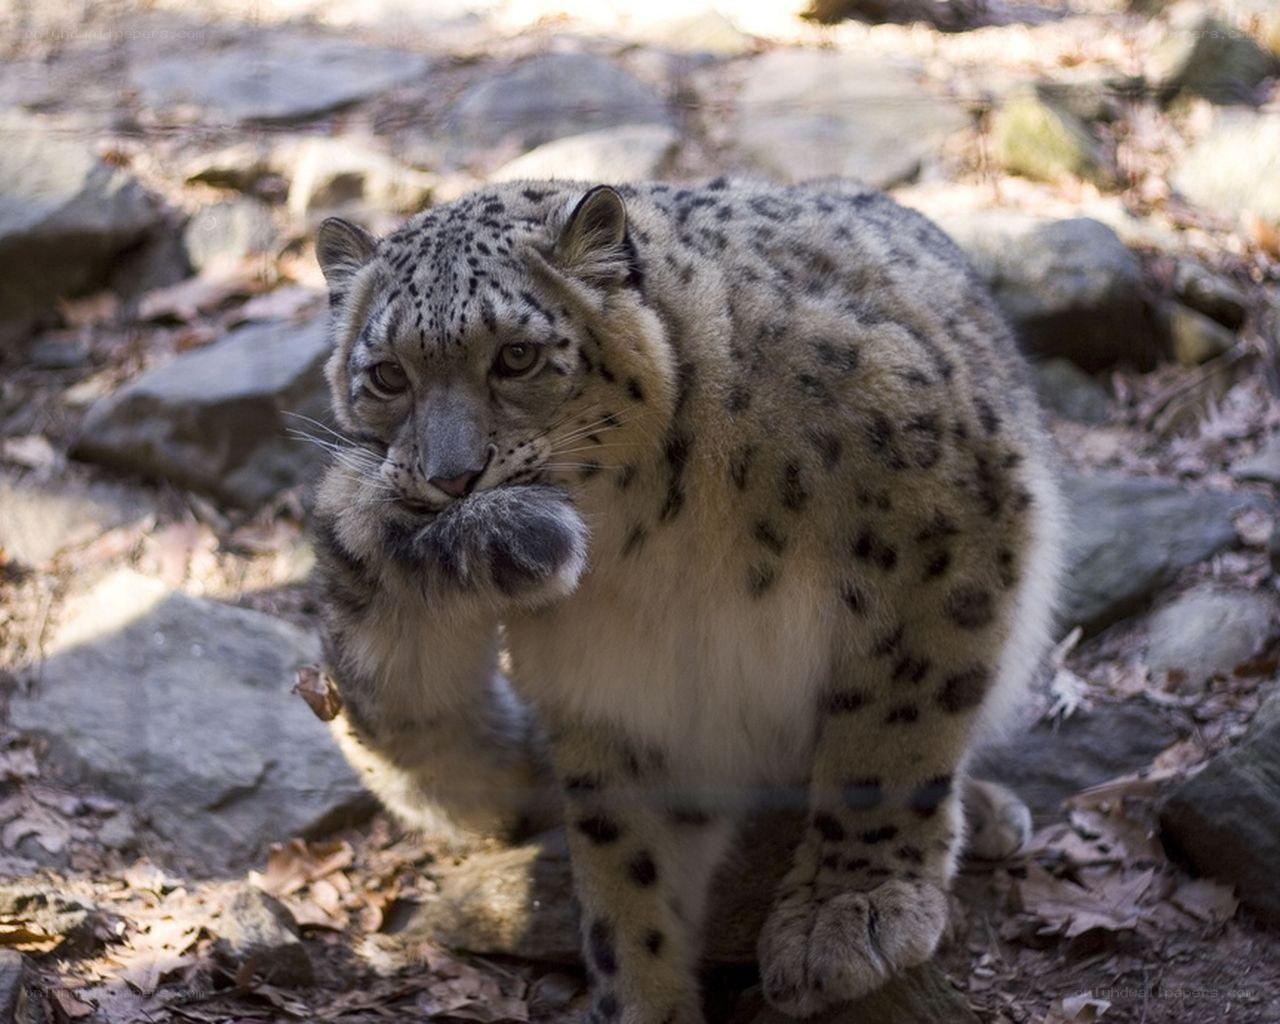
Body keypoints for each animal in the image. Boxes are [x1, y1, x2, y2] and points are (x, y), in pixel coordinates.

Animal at [308, 177, 1062, 1022]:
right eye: (387, 374)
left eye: (517, 355)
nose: (451, 477)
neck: (656, 538)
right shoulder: (617, 687)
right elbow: (626, 859)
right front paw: (642, 998)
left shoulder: (944, 521)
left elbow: (892, 730)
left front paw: (848, 913)